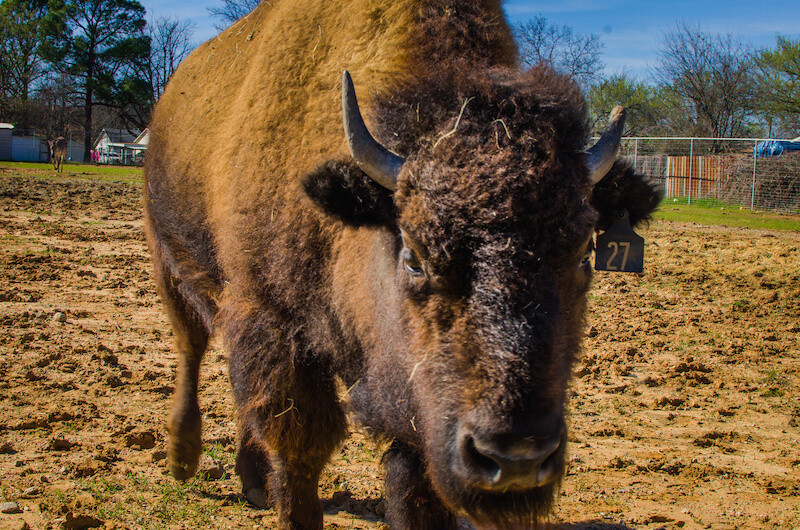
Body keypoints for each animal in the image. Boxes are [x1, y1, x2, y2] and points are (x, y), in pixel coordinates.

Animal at [145, 2, 664, 524]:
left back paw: (251, 481)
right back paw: (182, 458)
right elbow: (300, 448)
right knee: (191, 348)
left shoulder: (421, 416)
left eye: (583, 255)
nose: (515, 459)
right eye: (414, 256)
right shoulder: (272, 321)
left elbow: (416, 488)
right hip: (170, 261)